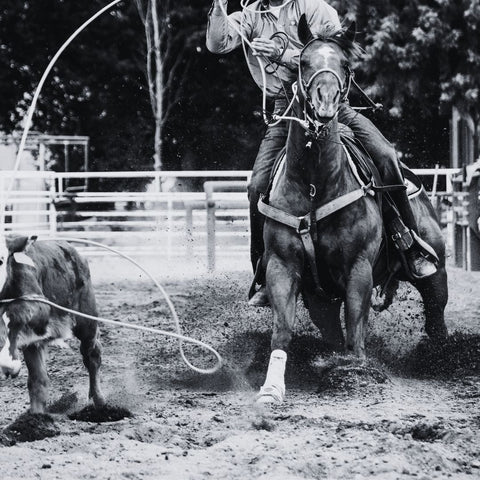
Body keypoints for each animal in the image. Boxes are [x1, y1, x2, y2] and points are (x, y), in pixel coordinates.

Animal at [0, 235, 104, 412]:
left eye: (0, 260)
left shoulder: (40, 304)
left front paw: (9, 363)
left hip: (86, 320)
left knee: (92, 355)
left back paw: (99, 400)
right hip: (34, 345)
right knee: (38, 380)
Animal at [256, 17, 448, 402]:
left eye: (345, 65)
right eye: (303, 62)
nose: (326, 103)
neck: (315, 184)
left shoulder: (358, 269)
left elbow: (356, 332)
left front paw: (356, 379)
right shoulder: (282, 268)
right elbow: (283, 329)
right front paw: (271, 388)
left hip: (437, 272)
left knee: (437, 316)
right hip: (321, 298)